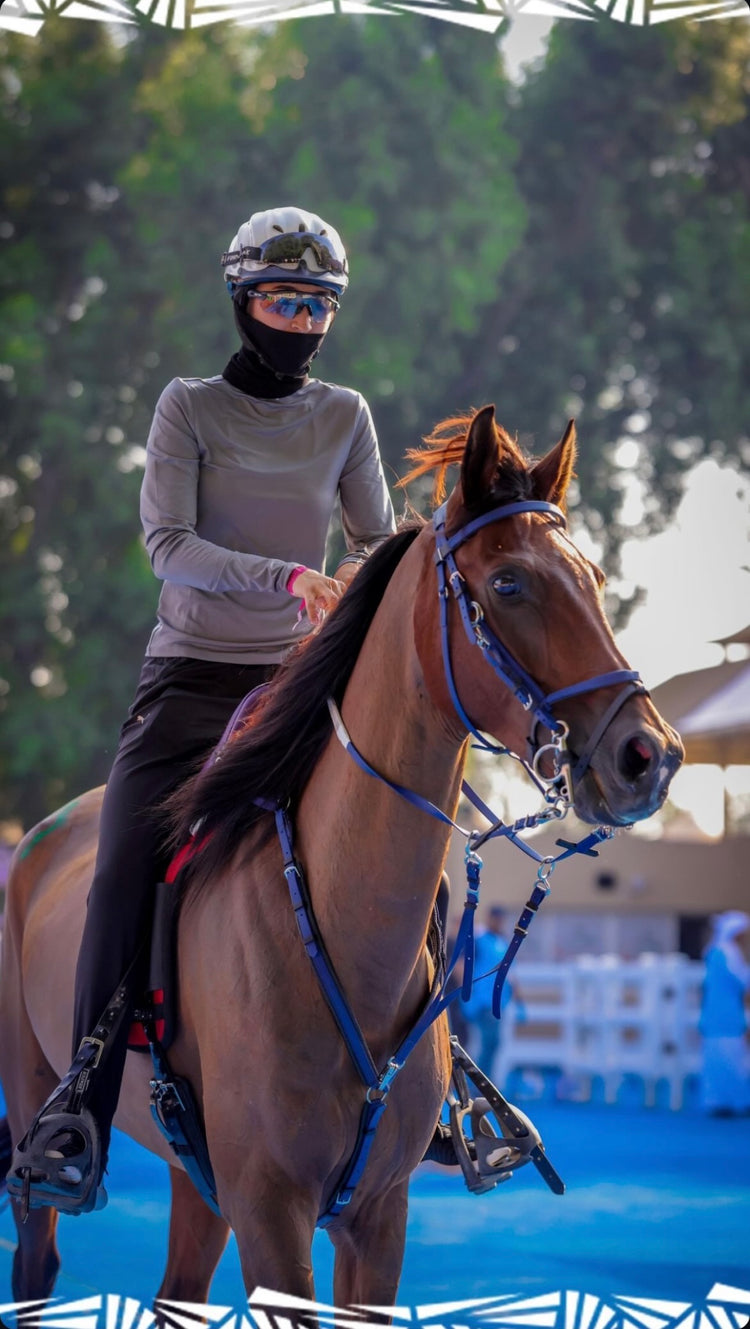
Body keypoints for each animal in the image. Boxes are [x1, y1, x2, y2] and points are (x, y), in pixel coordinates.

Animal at [0, 405, 683, 1304]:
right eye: (509, 584)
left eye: (596, 579)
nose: (651, 755)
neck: (339, 925)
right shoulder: (270, 1208)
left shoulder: (376, 1215)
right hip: (34, 1105)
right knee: (37, 1255)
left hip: (198, 1178)